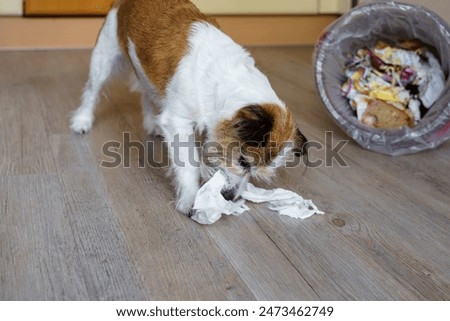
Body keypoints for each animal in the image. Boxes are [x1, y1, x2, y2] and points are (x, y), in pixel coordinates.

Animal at [71, 0, 310, 216]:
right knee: (92, 91)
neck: (224, 82)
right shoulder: (178, 121)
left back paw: (151, 123)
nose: (230, 197)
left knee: (147, 95)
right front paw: (190, 198)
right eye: (243, 161)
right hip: (104, 57)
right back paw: (82, 120)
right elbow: (188, 162)